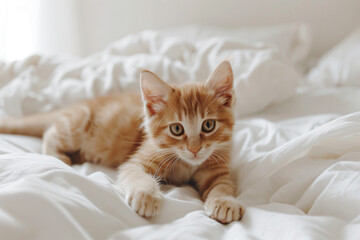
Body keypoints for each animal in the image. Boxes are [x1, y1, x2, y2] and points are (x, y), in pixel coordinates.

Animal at [0, 61, 245, 223]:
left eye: (208, 125)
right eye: (176, 129)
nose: (195, 149)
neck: (187, 164)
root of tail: (75, 105)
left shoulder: (218, 168)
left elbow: (222, 185)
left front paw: (224, 202)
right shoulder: (138, 161)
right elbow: (137, 176)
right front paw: (146, 195)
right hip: (76, 123)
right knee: (50, 132)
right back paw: (59, 155)